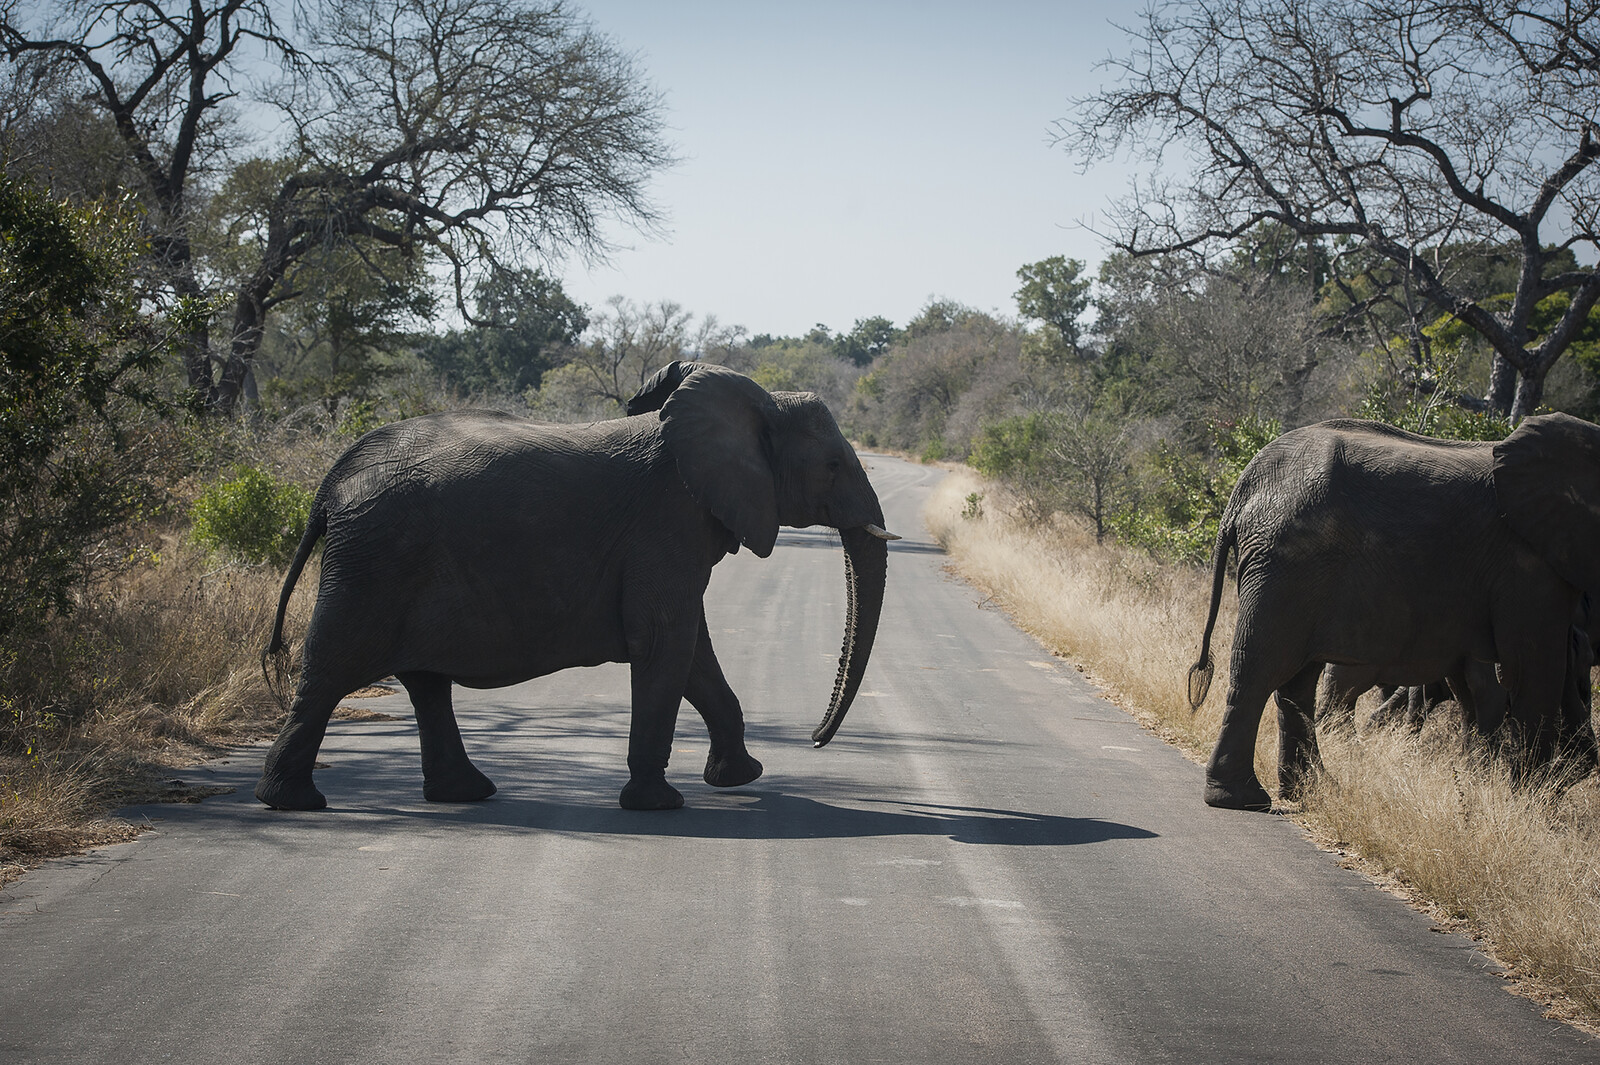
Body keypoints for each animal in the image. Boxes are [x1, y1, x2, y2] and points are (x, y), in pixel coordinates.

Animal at [254, 361, 899, 812]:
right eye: (835, 466)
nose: (815, 741)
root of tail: (329, 486)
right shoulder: (666, 522)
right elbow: (666, 642)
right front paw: (659, 806)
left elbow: (692, 650)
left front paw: (740, 778)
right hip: (372, 563)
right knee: (331, 673)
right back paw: (294, 802)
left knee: (425, 683)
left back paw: (465, 793)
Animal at [1187, 413, 1600, 812]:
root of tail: (1245, 484)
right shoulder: (1529, 564)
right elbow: (1533, 672)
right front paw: (1531, 806)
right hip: (1284, 562)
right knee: (1262, 667)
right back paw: (1243, 799)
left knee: (1297, 681)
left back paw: (1313, 791)